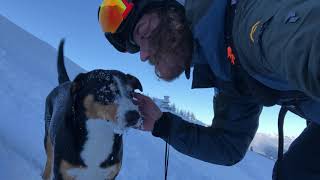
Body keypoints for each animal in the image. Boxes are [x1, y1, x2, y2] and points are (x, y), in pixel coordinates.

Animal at [42, 40, 142, 180]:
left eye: (131, 93)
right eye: (106, 92)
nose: (134, 116)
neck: (99, 133)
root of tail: (65, 83)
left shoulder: (110, 174)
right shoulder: (63, 173)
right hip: (48, 137)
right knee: (49, 161)